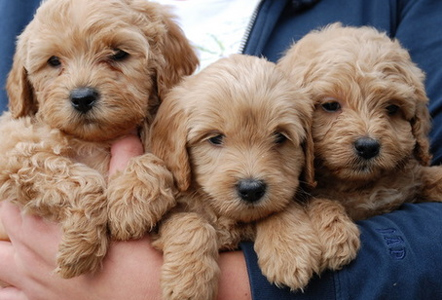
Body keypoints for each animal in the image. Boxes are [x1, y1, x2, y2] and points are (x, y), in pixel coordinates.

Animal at [0, 0, 198, 278]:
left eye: (118, 54)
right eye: (53, 61)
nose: (82, 97)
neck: (95, 140)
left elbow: (156, 162)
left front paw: (131, 204)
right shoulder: (14, 147)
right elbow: (76, 179)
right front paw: (81, 246)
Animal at [148, 54, 360, 300]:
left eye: (280, 137)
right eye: (215, 138)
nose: (251, 189)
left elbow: (279, 207)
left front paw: (290, 249)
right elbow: (190, 221)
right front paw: (189, 281)